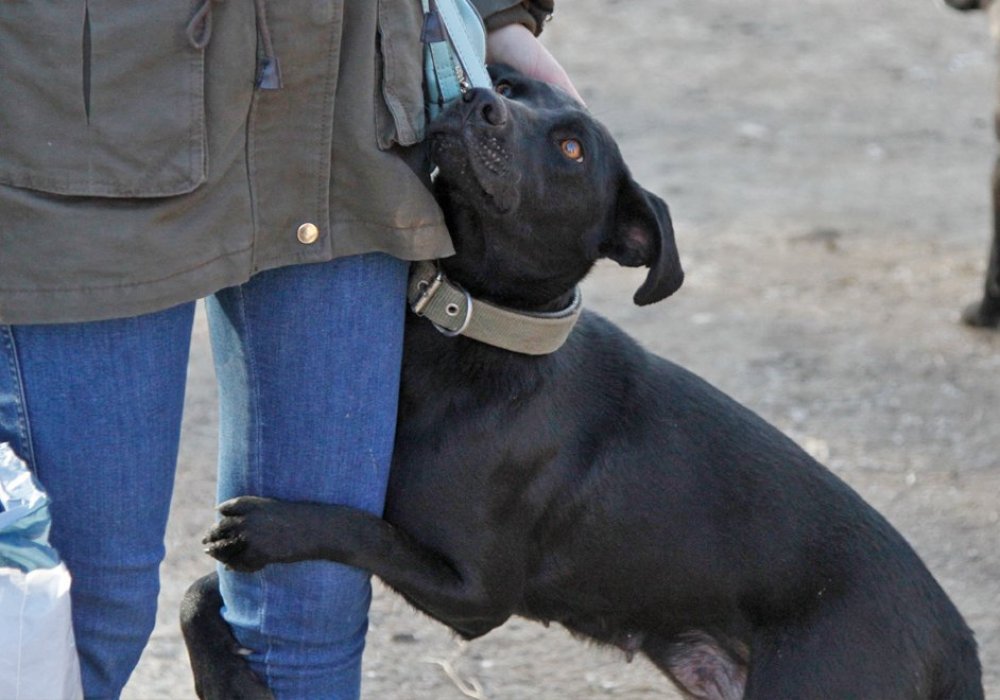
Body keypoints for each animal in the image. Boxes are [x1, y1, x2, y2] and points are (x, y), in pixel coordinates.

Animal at [182, 67, 984, 700]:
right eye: (509, 87)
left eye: (571, 148)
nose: (478, 100)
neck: (475, 331)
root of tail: (959, 646)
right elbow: (196, 592)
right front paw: (226, 675)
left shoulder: (478, 593)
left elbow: (362, 530)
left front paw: (276, 527)